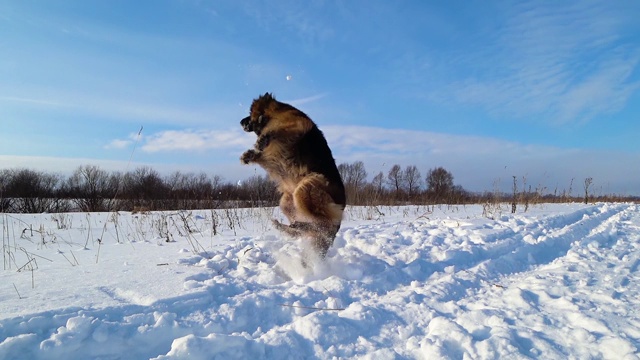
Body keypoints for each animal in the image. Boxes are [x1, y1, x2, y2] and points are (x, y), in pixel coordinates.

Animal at [240, 91, 344, 258]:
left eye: (250, 115)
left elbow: (276, 128)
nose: (240, 122)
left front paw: (262, 139)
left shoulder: (299, 124)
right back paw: (289, 226)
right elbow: (261, 155)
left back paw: (300, 225)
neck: (272, 114)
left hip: (306, 189)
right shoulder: (270, 157)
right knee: (305, 228)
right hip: (287, 202)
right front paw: (248, 155)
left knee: (321, 223)